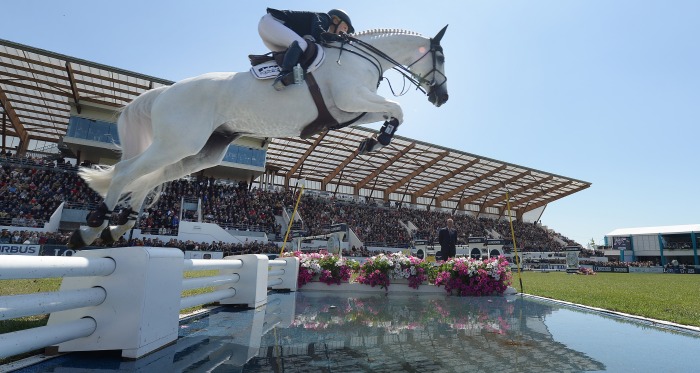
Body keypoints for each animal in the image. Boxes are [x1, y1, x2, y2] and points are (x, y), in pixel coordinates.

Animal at [69, 26, 448, 247]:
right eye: (441, 57)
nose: (442, 97)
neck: (362, 58)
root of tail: (164, 92)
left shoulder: (347, 110)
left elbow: (392, 112)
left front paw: (372, 141)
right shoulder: (349, 97)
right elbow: (397, 107)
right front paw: (376, 141)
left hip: (202, 151)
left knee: (149, 178)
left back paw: (118, 228)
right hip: (177, 142)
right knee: (126, 172)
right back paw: (92, 227)